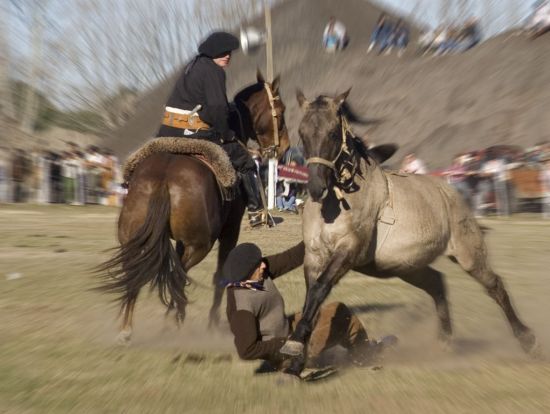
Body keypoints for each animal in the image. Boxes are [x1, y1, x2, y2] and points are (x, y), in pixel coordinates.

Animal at [97, 73, 292, 344]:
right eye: (280, 111)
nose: (284, 147)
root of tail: (164, 176)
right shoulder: (230, 231)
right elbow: (220, 274)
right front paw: (213, 321)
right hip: (200, 244)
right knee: (177, 273)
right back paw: (173, 319)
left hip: (134, 241)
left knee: (140, 274)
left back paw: (129, 328)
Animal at [280, 89, 540, 370]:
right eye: (302, 132)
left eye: (332, 133)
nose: (316, 188)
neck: (338, 201)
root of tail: (452, 192)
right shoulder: (314, 255)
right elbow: (312, 296)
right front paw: (297, 355)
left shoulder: (348, 250)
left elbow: (319, 289)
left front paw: (294, 345)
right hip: (407, 267)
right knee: (437, 283)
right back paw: (444, 342)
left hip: (468, 254)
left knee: (494, 286)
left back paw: (527, 339)